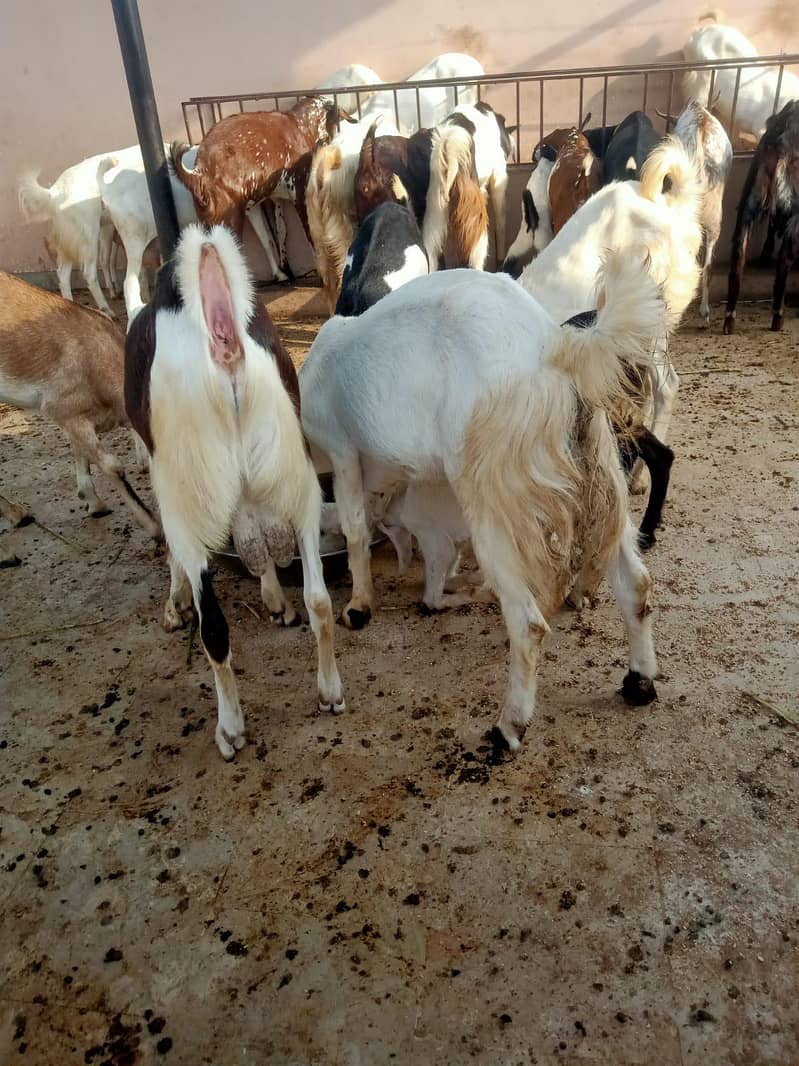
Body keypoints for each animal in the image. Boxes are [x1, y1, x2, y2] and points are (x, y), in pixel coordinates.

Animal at [0, 272, 159, 537]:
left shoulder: (76, 419)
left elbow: (81, 452)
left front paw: (93, 502)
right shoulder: (62, 409)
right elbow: (112, 465)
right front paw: (153, 526)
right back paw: (17, 516)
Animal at [124, 225, 344, 760]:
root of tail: (222, 339)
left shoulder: (170, 481)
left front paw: (174, 606)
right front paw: (274, 599)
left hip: (190, 490)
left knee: (215, 628)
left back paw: (230, 729)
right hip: (296, 473)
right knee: (319, 598)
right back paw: (329, 691)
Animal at [299, 257, 667, 751]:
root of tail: (555, 346)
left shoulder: (342, 452)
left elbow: (357, 530)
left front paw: (358, 607)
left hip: (495, 498)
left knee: (528, 623)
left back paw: (508, 728)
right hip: (602, 475)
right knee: (635, 583)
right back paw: (638, 682)